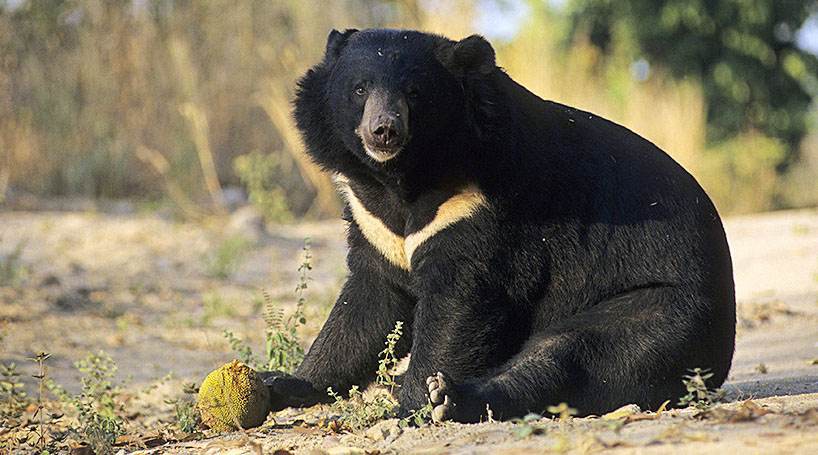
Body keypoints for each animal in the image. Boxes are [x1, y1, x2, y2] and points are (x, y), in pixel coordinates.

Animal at [264, 29, 736, 424]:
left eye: (414, 92)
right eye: (359, 89)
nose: (383, 131)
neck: (402, 176)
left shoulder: (482, 205)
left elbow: (462, 301)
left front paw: (413, 404)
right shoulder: (372, 220)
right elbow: (368, 303)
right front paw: (283, 381)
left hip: (665, 307)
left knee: (574, 353)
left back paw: (450, 397)